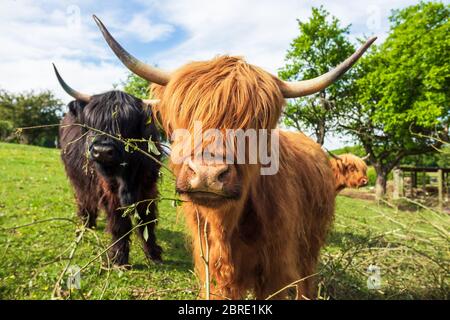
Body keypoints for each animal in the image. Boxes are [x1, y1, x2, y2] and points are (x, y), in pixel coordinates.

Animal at [54, 64, 163, 264]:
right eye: (93, 123)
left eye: (127, 123)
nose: (102, 151)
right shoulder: (107, 189)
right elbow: (119, 223)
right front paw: (119, 259)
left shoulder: (148, 186)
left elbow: (147, 220)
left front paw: (154, 254)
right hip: (78, 179)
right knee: (84, 199)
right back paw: (87, 224)